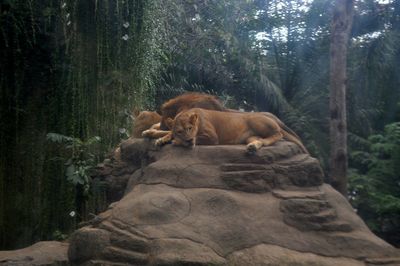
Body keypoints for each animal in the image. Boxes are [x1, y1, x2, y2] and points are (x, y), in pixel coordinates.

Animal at [155, 107, 308, 154]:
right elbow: (169, 133)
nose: (188, 139)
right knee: (262, 140)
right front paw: (161, 140)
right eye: (180, 131)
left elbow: (194, 139)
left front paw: (178, 142)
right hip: (250, 136)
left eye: (190, 128)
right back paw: (253, 147)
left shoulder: (212, 137)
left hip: (256, 120)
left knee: (278, 134)